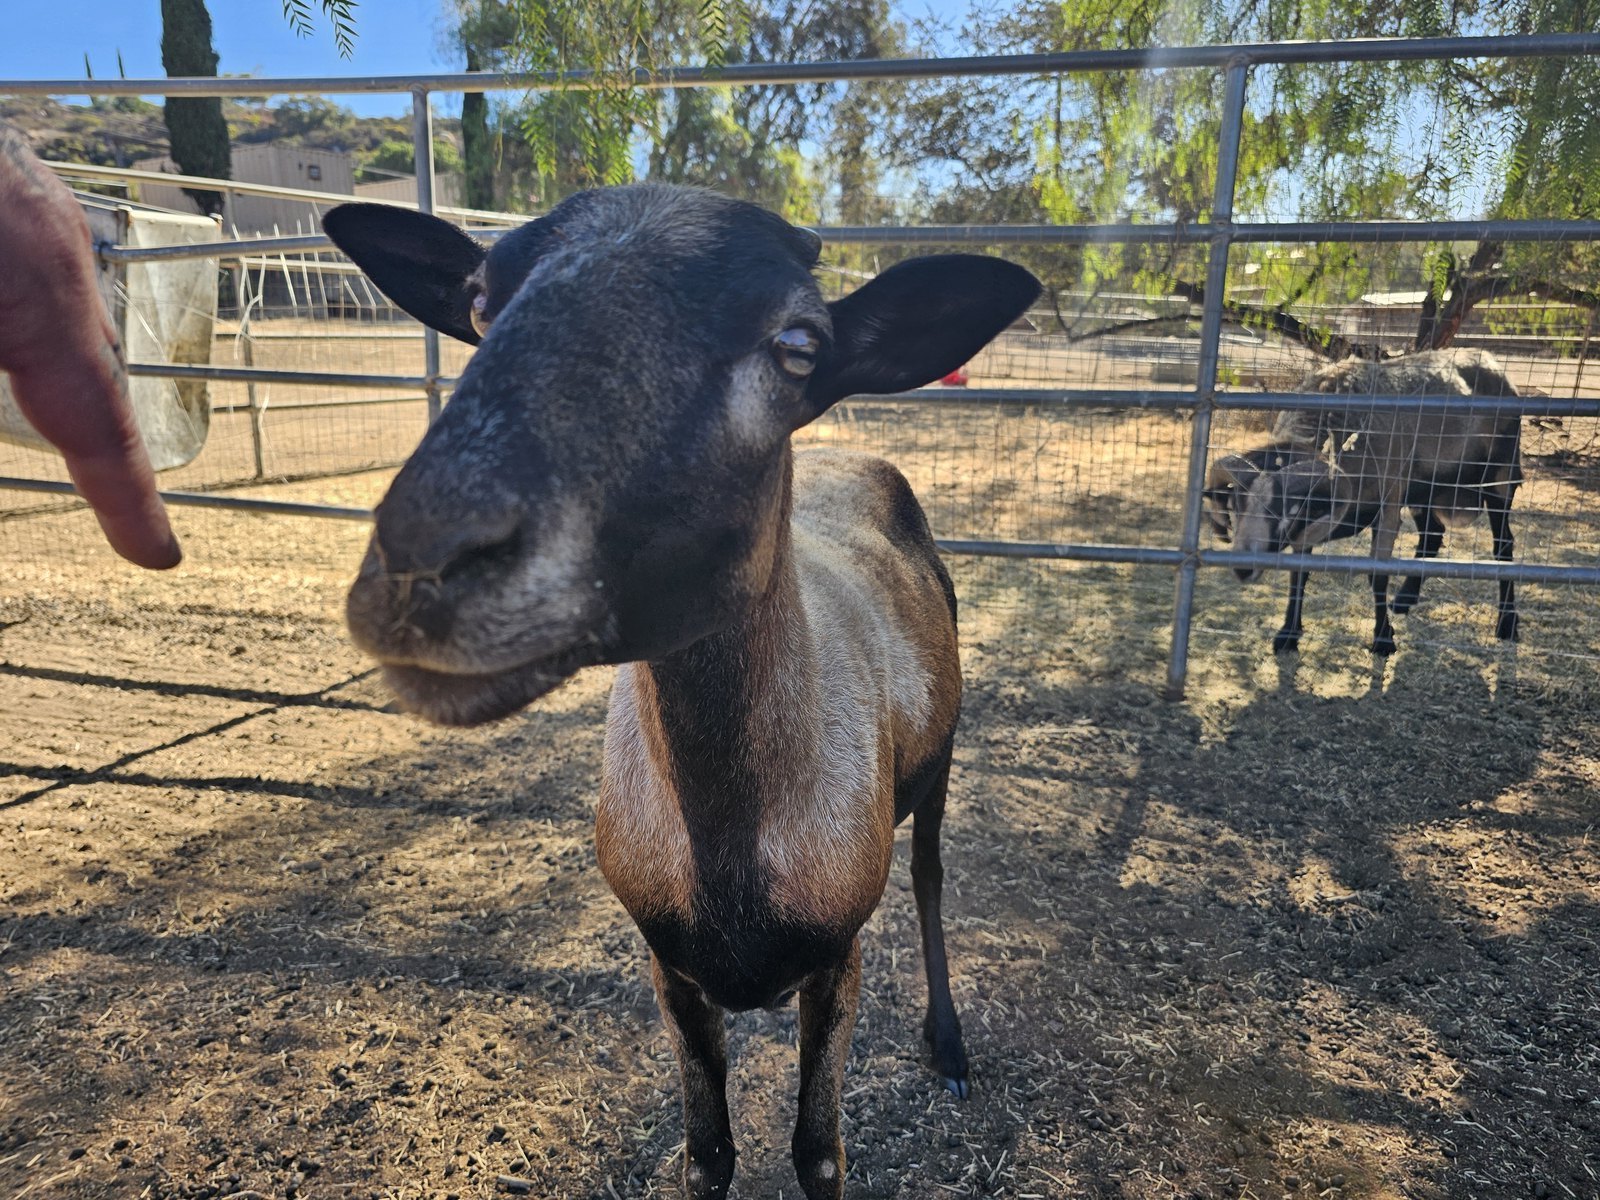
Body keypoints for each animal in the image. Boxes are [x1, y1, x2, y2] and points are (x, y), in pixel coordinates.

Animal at [321, 187, 1040, 1200]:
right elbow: (708, 1156)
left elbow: (818, 1155)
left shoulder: (840, 960)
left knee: (933, 877)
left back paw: (949, 1047)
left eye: (799, 344)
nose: (425, 561)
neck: (731, 836)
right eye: (480, 303)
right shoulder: (671, 971)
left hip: (940, 757)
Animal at [1210, 349, 1522, 655]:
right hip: (1424, 493)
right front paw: (1288, 634)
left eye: (1292, 507)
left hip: (1500, 479)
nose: (1243, 568)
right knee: (1432, 536)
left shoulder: (1388, 508)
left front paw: (1383, 639)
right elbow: (1298, 575)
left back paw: (1507, 624)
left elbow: (1377, 575)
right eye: (1236, 505)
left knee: (1503, 547)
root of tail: (1492, 361)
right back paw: (1404, 599)